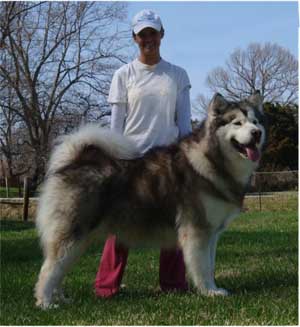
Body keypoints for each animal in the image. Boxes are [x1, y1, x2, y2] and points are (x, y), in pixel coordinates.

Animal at [35, 91, 268, 308]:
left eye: (255, 122)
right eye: (237, 123)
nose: (256, 133)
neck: (212, 160)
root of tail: (73, 163)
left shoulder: (212, 234)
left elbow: (210, 265)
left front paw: (213, 288)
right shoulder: (197, 231)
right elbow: (202, 267)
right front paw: (209, 292)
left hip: (79, 241)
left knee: (59, 269)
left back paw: (61, 298)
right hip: (72, 234)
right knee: (49, 269)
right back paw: (46, 303)